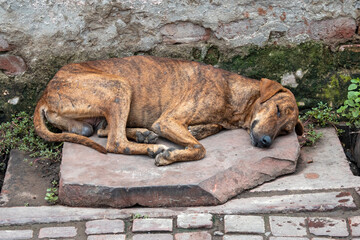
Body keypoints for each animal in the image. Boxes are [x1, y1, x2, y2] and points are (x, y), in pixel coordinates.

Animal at [34, 55, 304, 166]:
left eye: (286, 130)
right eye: (277, 110)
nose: (267, 142)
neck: (233, 93)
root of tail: (45, 94)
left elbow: (204, 132)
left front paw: (193, 134)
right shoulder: (167, 120)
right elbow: (199, 148)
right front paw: (171, 155)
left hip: (92, 118)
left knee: (104, 131)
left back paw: (143, 135)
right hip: (119, 86)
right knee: (115, 142)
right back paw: (152, 147)